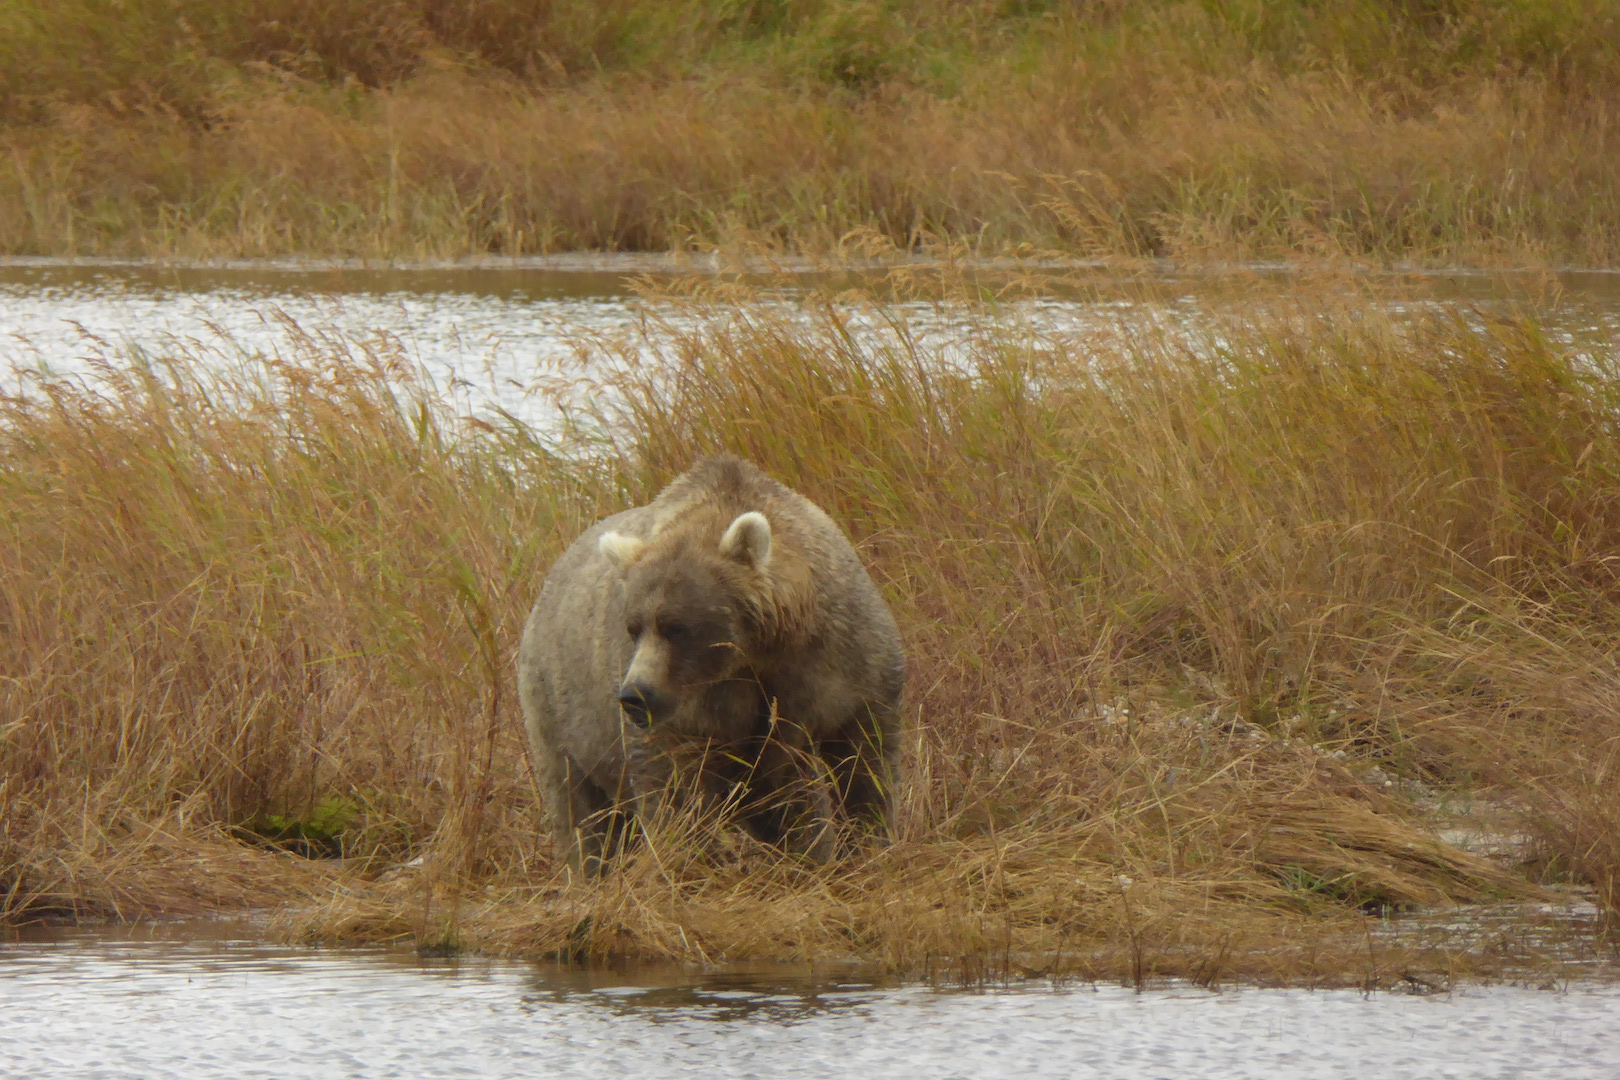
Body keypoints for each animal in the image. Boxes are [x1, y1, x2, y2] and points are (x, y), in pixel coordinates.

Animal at [517, 456, 905, 872]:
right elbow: (674, 788)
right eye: (633, 627)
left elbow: (863, 757)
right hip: (556, 714)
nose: (636, 695)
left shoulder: (843, 658)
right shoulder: (693, 714)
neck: (759, 652)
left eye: (676, 627)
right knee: (580, 809)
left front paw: (864, 843)